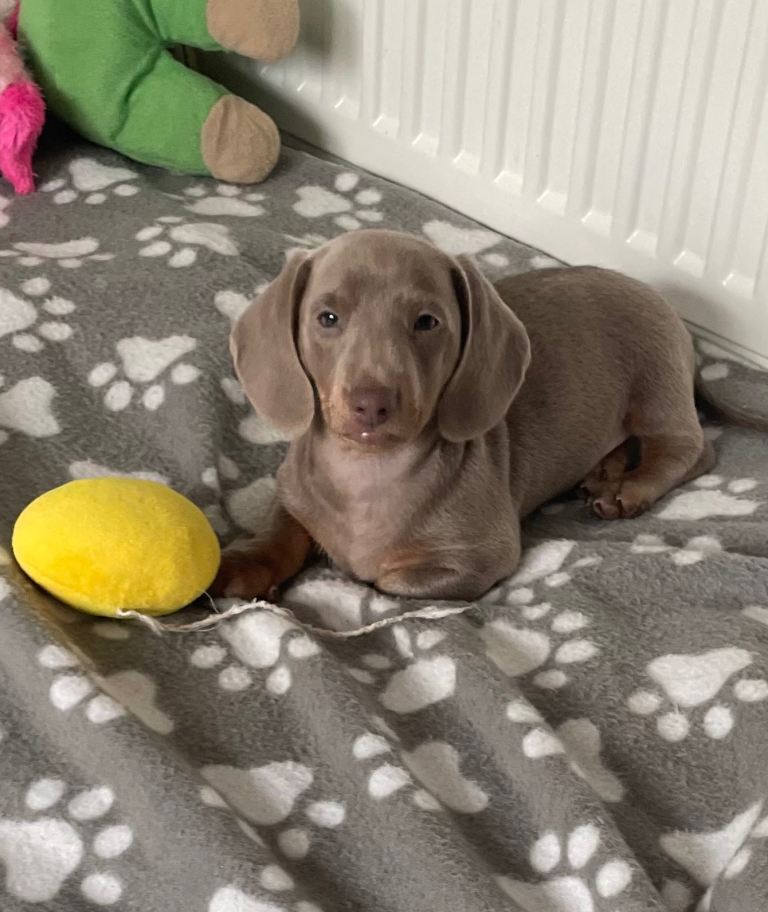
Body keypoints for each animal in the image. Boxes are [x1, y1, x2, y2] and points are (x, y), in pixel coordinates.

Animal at [213, 229, 715, 602]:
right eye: (328, 318)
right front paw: (244, 566)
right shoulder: (292, 492)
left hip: (657, 385)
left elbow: (387, 578)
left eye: (427, 322)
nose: (372, 403)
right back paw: (604, 470)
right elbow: (280, 530)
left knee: (691, 451)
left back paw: (629, 488)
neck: (366, 473)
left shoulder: (478, 558)